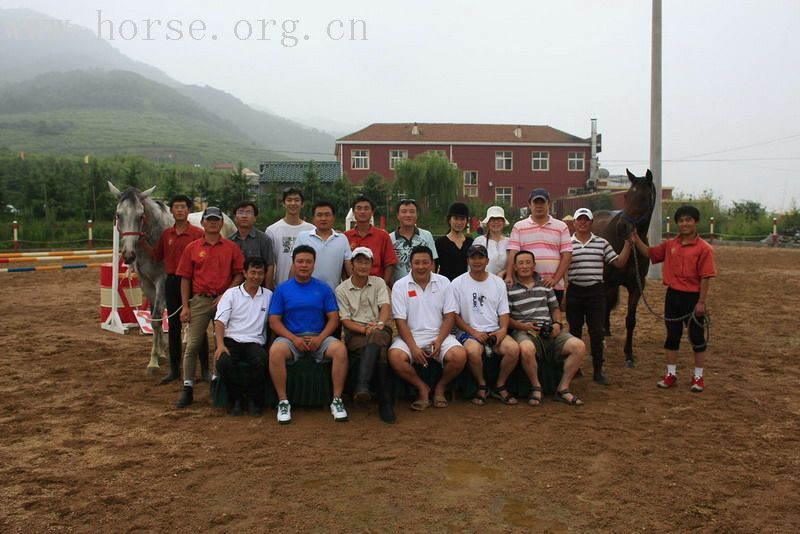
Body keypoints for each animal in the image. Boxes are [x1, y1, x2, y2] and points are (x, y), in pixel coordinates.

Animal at [592, 171, 656, 368]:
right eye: (626, 196)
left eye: (643, 197)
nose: (622, 228)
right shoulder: (606, 281)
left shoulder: (636, 286)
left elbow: (631, 320)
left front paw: (629, 354)